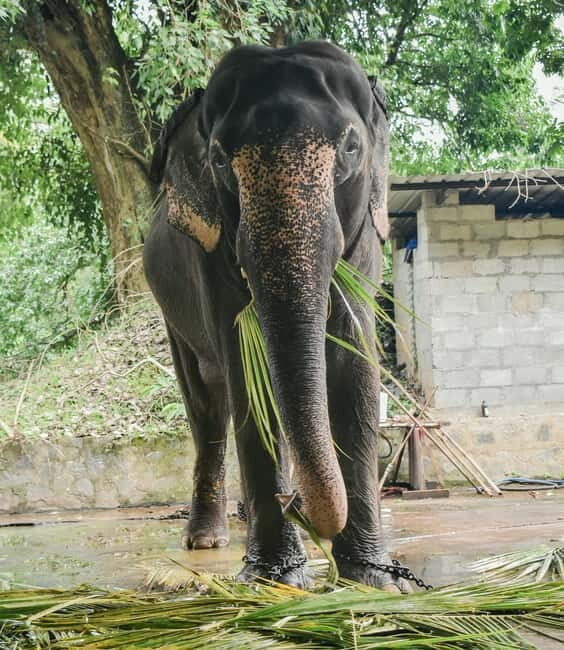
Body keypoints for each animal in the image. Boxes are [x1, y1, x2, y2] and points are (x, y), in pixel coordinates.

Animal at [144, 41, 406, 591]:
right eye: (219, 160)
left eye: (351, 147)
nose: (294, 502)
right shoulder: (211, 252)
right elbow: (249, 370)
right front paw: (274, 581)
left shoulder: (366, 240)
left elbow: (354, 362)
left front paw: (374, 580)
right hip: (171, 314)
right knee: (207, 406)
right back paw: (207, 541)